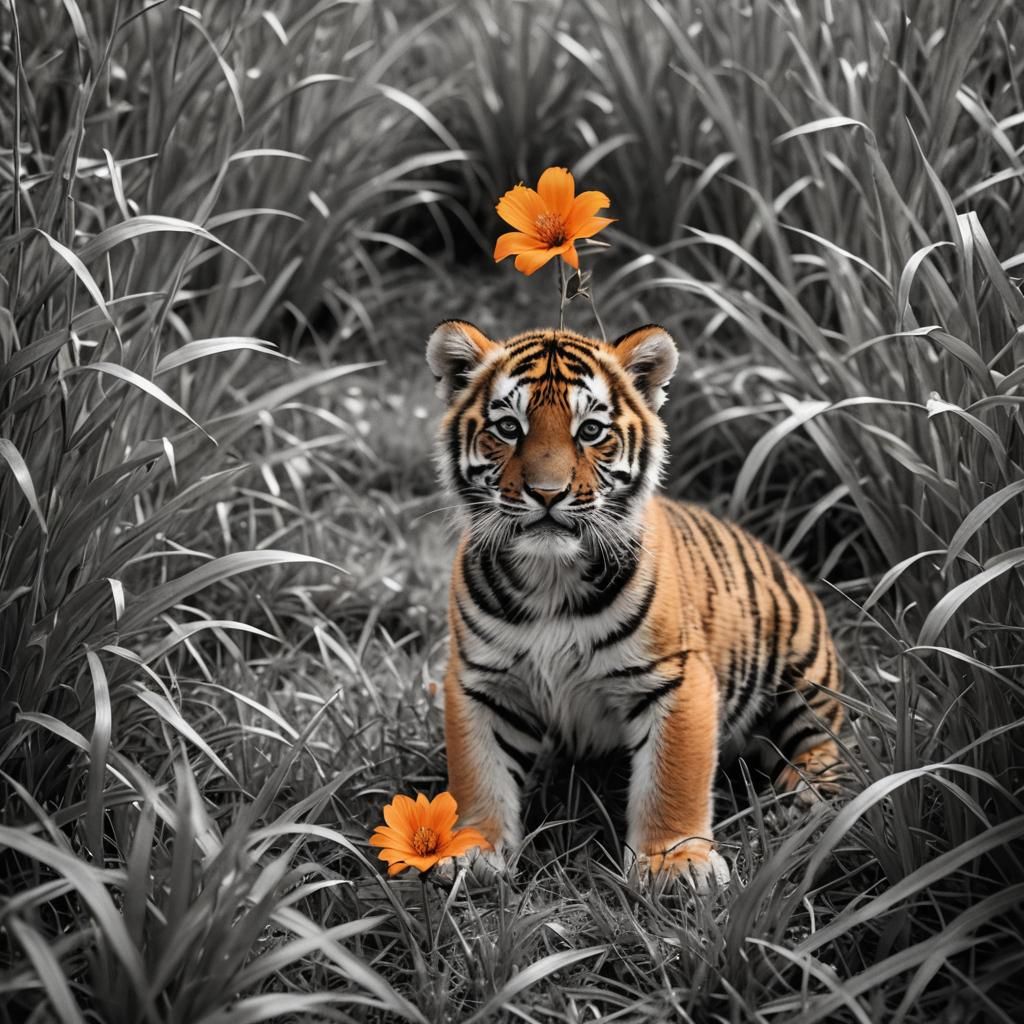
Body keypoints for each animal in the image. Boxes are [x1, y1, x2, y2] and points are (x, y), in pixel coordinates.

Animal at [426, 319, 844, 890]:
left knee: (829, 744)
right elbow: (479, 770)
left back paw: (803, 801)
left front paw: (675, 864)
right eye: (509, 427)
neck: (550, 576)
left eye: (590, 431)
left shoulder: (675, 676)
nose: (547, 494)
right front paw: (472, 849)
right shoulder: (481, 680)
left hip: (802, 673)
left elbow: (674, 775)